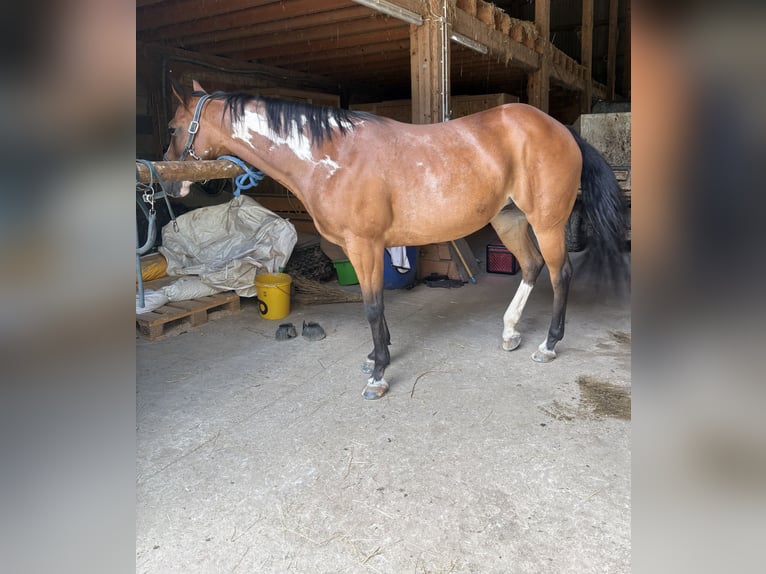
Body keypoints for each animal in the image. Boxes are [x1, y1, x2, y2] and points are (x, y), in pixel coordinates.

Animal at [163, 80, 627, 400]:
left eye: (171, 128)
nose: (169, 185)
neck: (330, 157)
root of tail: (563, 130)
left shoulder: (364, 245)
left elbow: (372, 308)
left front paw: (378, 375)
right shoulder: (367, 248)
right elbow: (378, 308)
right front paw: (377, 356)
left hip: (547, 223)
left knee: (560, 274)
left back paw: (549, 345)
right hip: (509, 219)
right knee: (532, 267)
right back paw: (511, 332)